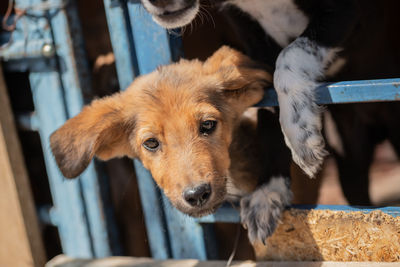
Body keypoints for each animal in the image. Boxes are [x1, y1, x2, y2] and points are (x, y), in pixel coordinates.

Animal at [139, 0, 400, 180]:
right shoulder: (253, 40)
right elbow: (269, 103)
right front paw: (269, 192)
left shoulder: (348, 10)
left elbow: (290, 54)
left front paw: (300, 136)